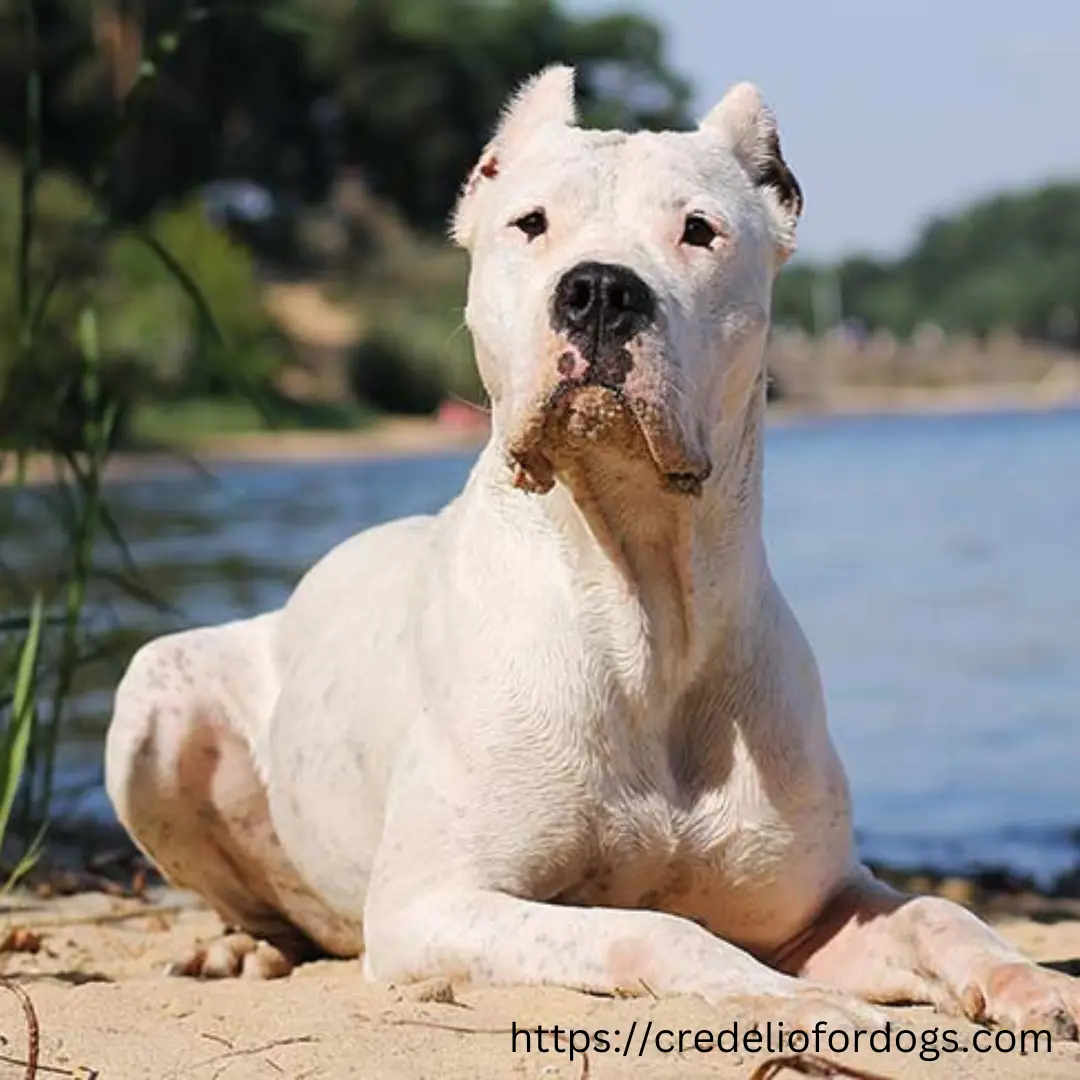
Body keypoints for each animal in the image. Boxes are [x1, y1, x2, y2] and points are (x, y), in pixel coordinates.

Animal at [105, 67, 1080, 1036]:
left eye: (699, 229)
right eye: (530, 222)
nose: (602, 290)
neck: (642, 603)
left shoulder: (816, 905)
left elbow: (938, 914)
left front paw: (1033, 982)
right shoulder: (434, 905)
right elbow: (653, 928)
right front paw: (792, 1003)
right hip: (156, 695)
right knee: (261, 901)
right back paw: (241, 947)